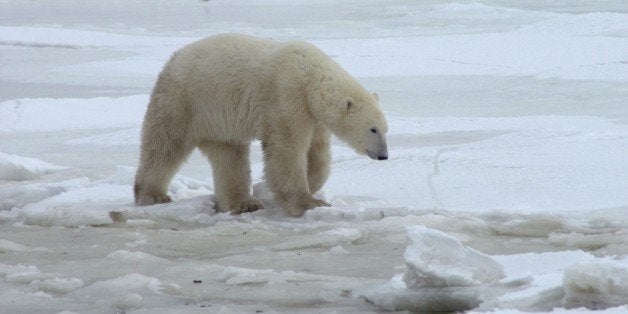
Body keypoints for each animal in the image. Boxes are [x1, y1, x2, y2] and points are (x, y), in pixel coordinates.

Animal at [133, 33, 388, 217]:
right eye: (373, 129)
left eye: (386, 129)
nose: (383, 156)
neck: (310, 76)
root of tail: (171, 61)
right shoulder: (287, 96)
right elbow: (286, 149)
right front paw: (309, 203)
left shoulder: (313, 116)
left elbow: (318, 154)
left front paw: (307, 185)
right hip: (184, 100)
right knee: (165, 145)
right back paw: (152, 195)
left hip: (219, 122)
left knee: (229, 156)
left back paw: (244, 203)